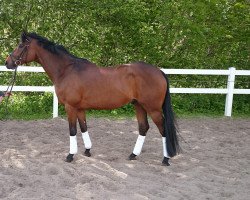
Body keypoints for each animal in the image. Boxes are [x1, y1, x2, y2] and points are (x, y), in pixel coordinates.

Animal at [4, 31, 180, 166]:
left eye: (20, 46)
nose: (7, 63)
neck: (66, 70)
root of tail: (159, 71)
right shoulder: (80, 108)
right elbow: (83, 127)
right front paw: (87, 151)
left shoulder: (70, 107)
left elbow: (72, 130)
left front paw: (70, 155)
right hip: (139, 105)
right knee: (143, 128)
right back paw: (133, 155)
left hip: (153, 108)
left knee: (163, 130)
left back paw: (165, 159)